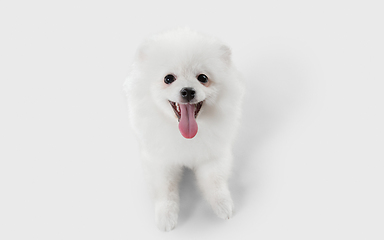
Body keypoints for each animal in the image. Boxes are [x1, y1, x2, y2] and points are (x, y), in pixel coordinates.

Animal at [124, 28, 243, 231]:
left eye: (203, 78)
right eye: (168, 79)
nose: (187, 91)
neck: (186, 137)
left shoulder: (213, 154)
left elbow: (215, 181)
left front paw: (222, 205)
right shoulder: (160, 160)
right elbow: (164, 189)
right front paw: (166, 215)